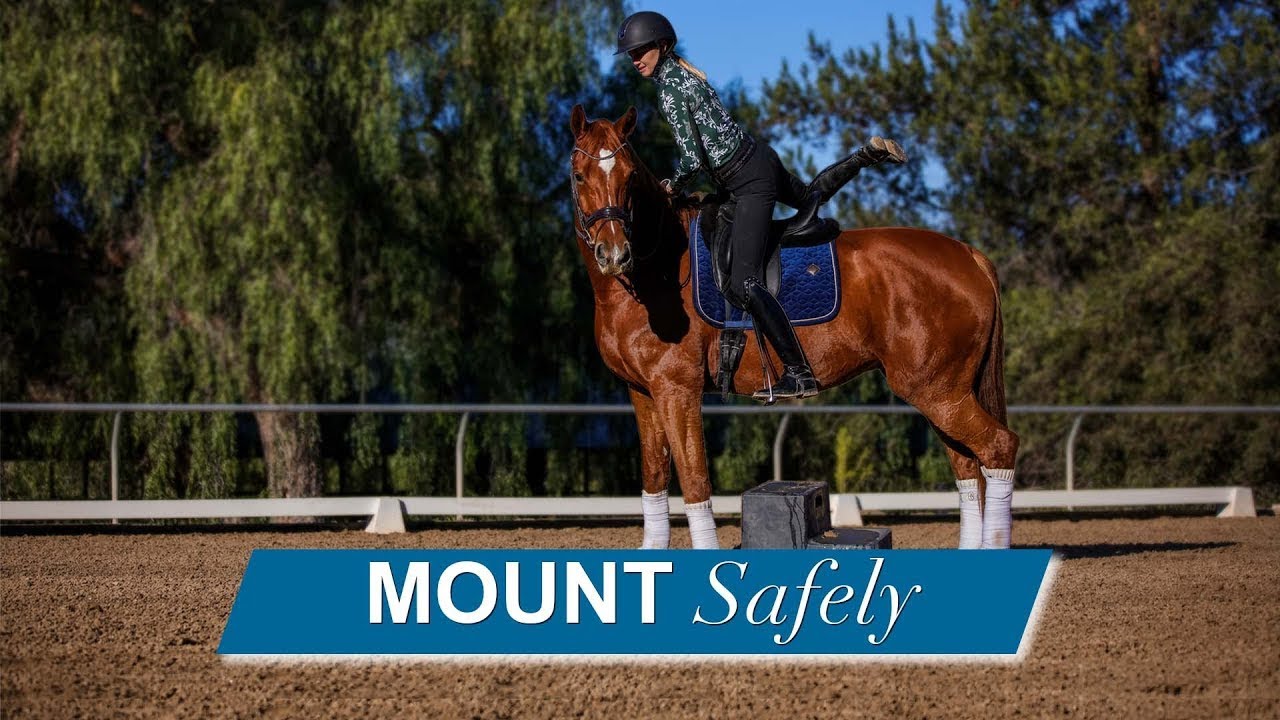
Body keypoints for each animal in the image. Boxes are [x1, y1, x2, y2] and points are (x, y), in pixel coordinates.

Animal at [568, 105, 1019, 550]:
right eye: (579, 175)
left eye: (629, 177)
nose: (614, 254)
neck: (658, 268)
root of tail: (968, 253)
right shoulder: (643, 393)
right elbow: (655, 480)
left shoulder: (677, 390)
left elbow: (695, 484)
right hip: (944, 393)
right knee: (967, 466)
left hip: (937, 391)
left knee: (998, 448)